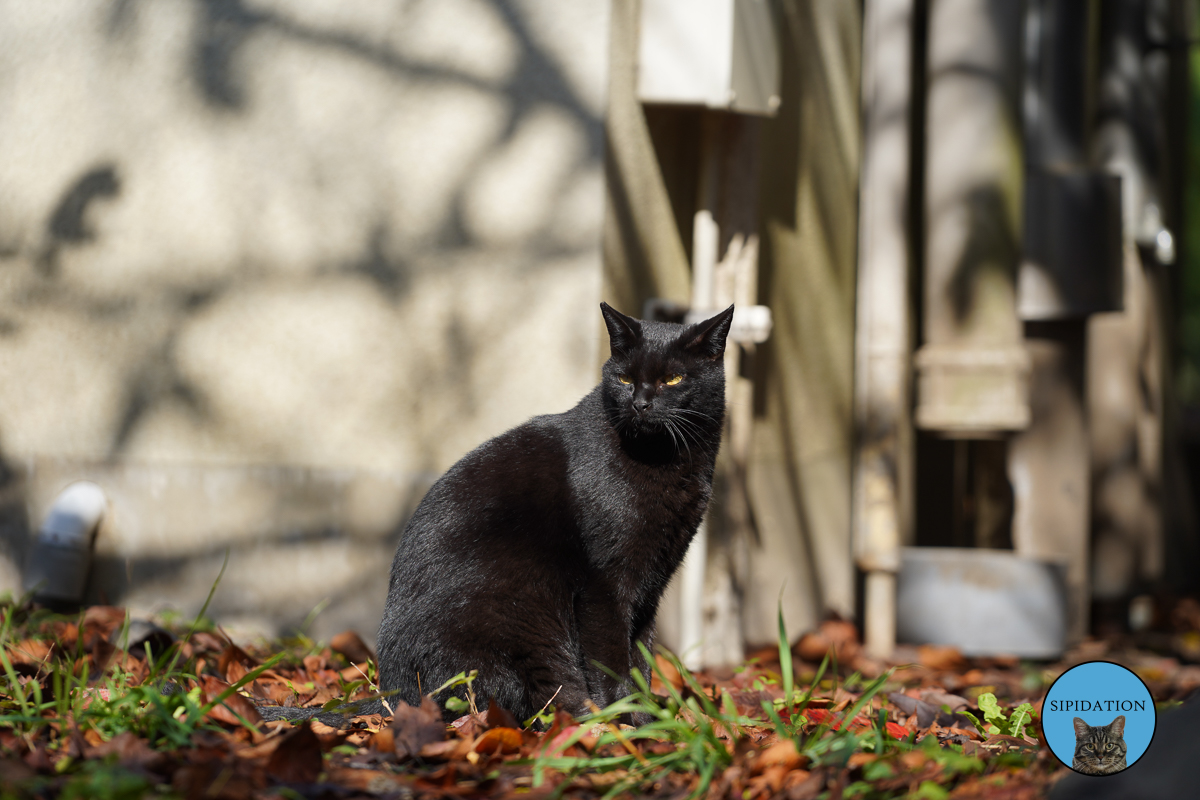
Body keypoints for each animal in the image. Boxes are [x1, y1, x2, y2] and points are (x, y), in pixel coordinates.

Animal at [372, 303, 729, 724]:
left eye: (673, 379)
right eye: (625, 378)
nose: (640, 403)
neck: (665, 459)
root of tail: (391, 697)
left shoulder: (651, 582)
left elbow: (641, 653)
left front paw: (648, 719)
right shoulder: (605, 582)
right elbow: (611, 659)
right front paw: (625, 720)